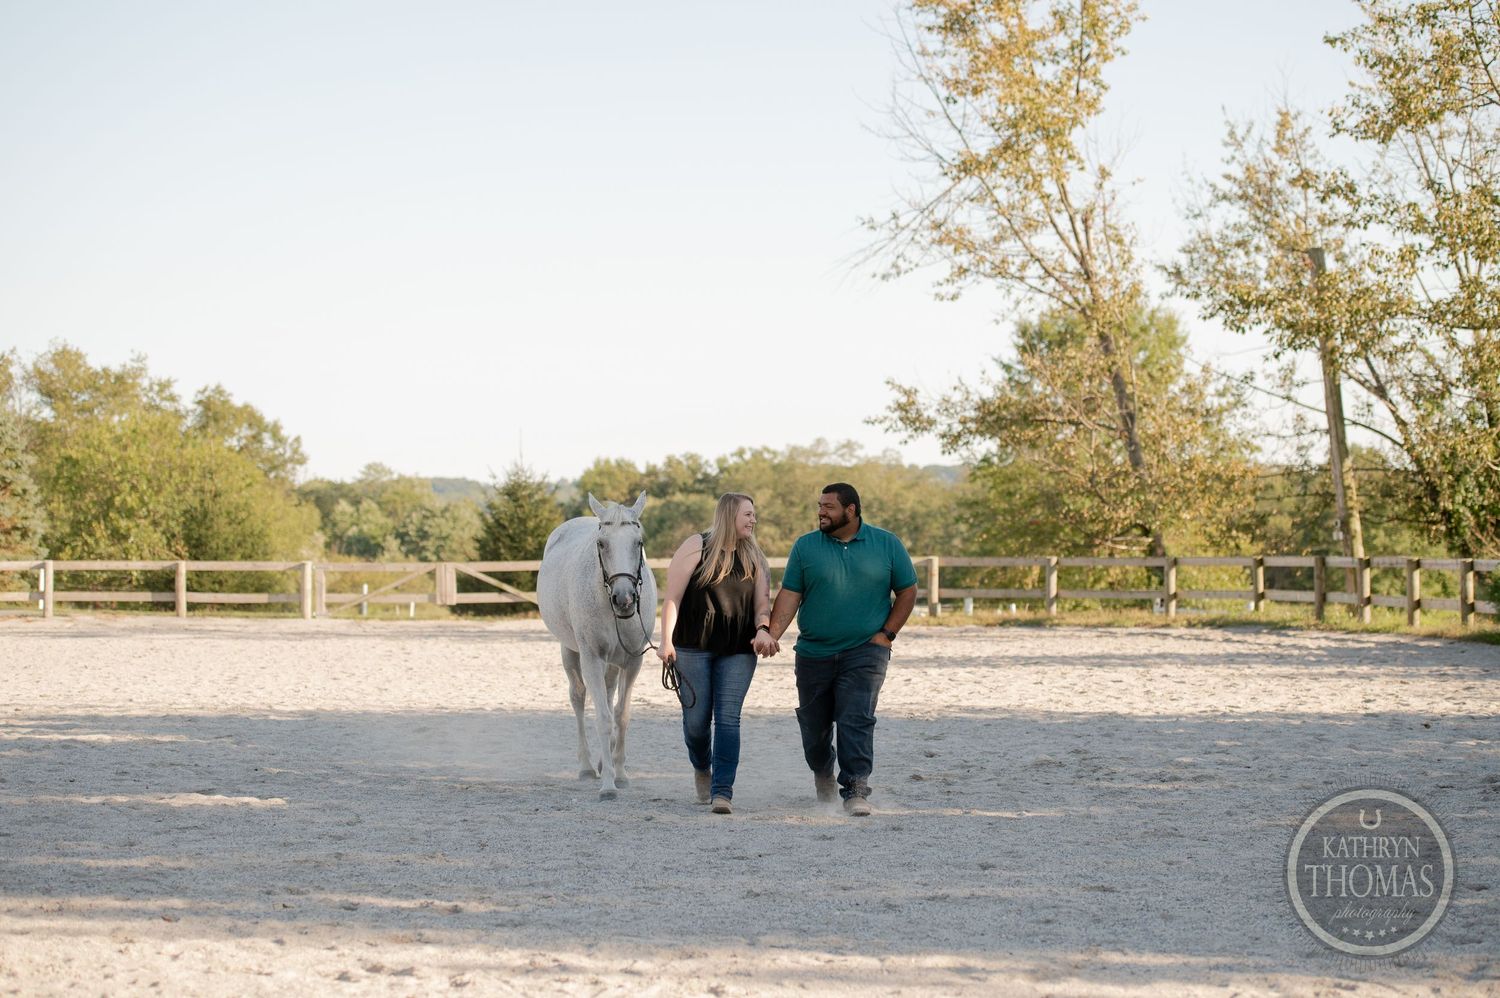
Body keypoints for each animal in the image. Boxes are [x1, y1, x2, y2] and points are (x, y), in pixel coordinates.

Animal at [536, 491, 658, 799]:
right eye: (601, 544)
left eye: (638, 542)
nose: (624, 598)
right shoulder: (590, 656)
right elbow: (602, 716)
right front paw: (608, 786)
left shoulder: (633, 660)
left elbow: (621, 715)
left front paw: (621, 774)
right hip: (569, 650)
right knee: (578, 697)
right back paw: (588, 767)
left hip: (613, 661)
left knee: (609, 693)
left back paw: (605, 763)